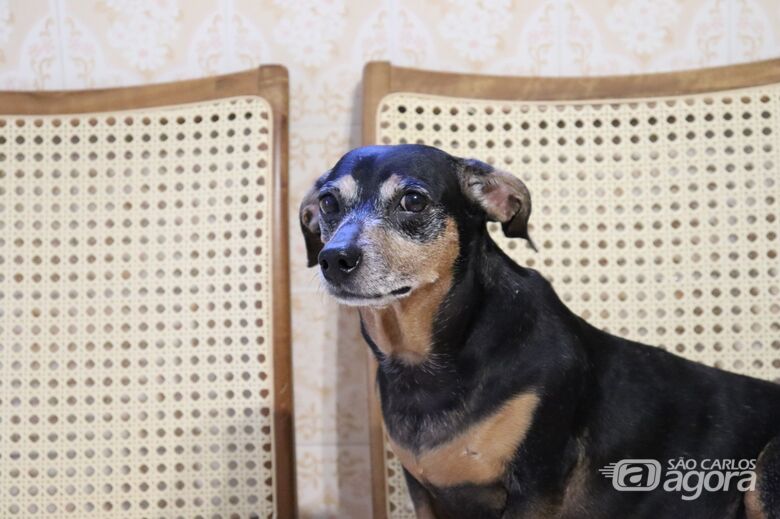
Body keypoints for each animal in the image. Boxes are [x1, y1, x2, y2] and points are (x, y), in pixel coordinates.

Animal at [298, 144, 780, 516]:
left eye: (413, 200)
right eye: (328, 204)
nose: (334, 259)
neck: (426, 360)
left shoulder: (535, 484)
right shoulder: (424, 493)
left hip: (764, 473)